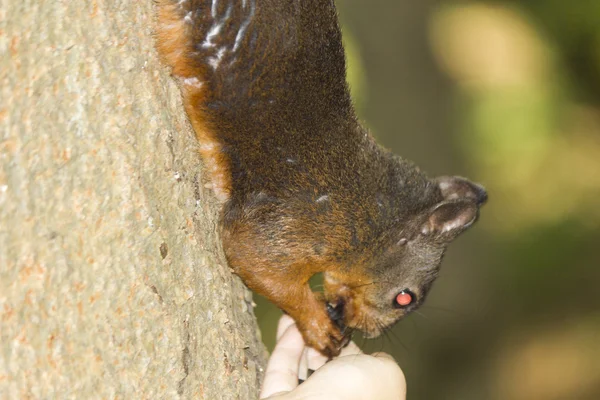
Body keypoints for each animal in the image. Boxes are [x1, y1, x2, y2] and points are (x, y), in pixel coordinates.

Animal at [156, 0, 488, 356]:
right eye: (404, 298)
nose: (367, 331)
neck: (372, 218)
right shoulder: (303, 223)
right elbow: (253, 257)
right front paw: (320, 328)